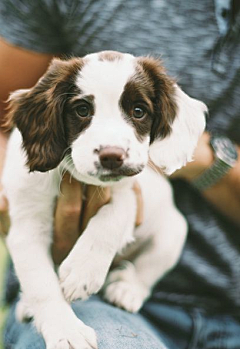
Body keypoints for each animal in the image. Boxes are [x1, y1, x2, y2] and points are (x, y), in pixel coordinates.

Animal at [2, 51, 206, 348]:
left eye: (138, 111)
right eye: (82, 110)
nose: (112, 156)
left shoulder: (130, 192)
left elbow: (114, 215)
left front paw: (82, 271)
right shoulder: (26, 225)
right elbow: (41, 284)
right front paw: (66, 330)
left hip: (174, 230)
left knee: (151, 265)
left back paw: (126, 288)